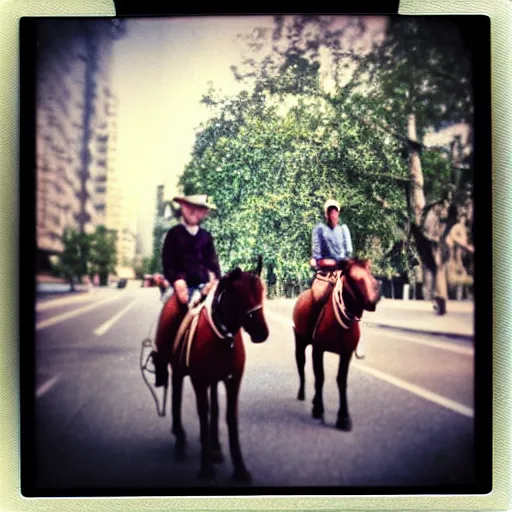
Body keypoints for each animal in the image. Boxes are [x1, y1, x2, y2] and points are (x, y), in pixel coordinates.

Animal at [166, 266, 270, 482]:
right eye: (240, 295)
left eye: (262, 292)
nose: (261, 333)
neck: (224, 337)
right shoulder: (199, 381)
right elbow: (202, 415)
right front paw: (206, 468)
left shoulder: (233, 380)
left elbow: (230, 416)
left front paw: (240, 468)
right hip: (179, 371)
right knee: (177, 398)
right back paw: (180, 440)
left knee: (214, 407)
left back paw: (215, 447)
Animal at [292, 258, 380, 430]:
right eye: (353, 278)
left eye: (370, 273)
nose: (373, 300)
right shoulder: (318, 349)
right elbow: (320, 377)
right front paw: (318, 409)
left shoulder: (346, 353)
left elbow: (341, 381)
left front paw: (343, 417)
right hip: (300, 341)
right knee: (301, 365)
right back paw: (301, 394)